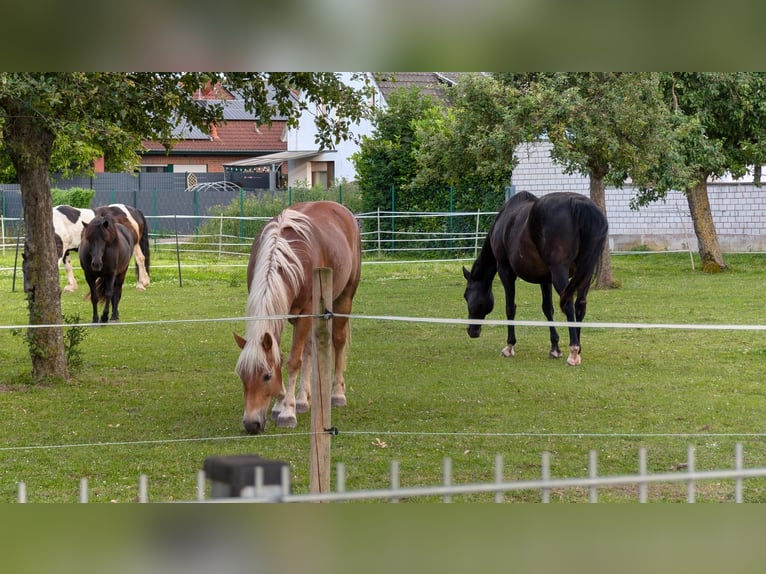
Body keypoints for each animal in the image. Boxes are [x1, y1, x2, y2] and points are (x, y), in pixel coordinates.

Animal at [234, 202, 364, 436]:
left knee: (338, 342)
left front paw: (287, 412)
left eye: (266, 376)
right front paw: (281, 404)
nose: (251, 424)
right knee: (310, 349)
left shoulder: (305, 313)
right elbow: (283, 354)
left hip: (344, 297)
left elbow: (293, 361)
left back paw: (337, 394)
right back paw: (303, 399)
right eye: (241, 375)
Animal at [462, 191, 612, 366]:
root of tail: (578, 204)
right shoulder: (545, 279)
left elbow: (510, 308)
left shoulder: (505, 271)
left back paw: (573, 352)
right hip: (584, 273)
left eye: (466, 296)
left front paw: (509, 346)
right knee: (580, 305)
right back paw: (578, 348)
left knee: (568, 303)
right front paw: (555, 348)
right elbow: (548, 309)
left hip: (560, 272)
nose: (471, 331)